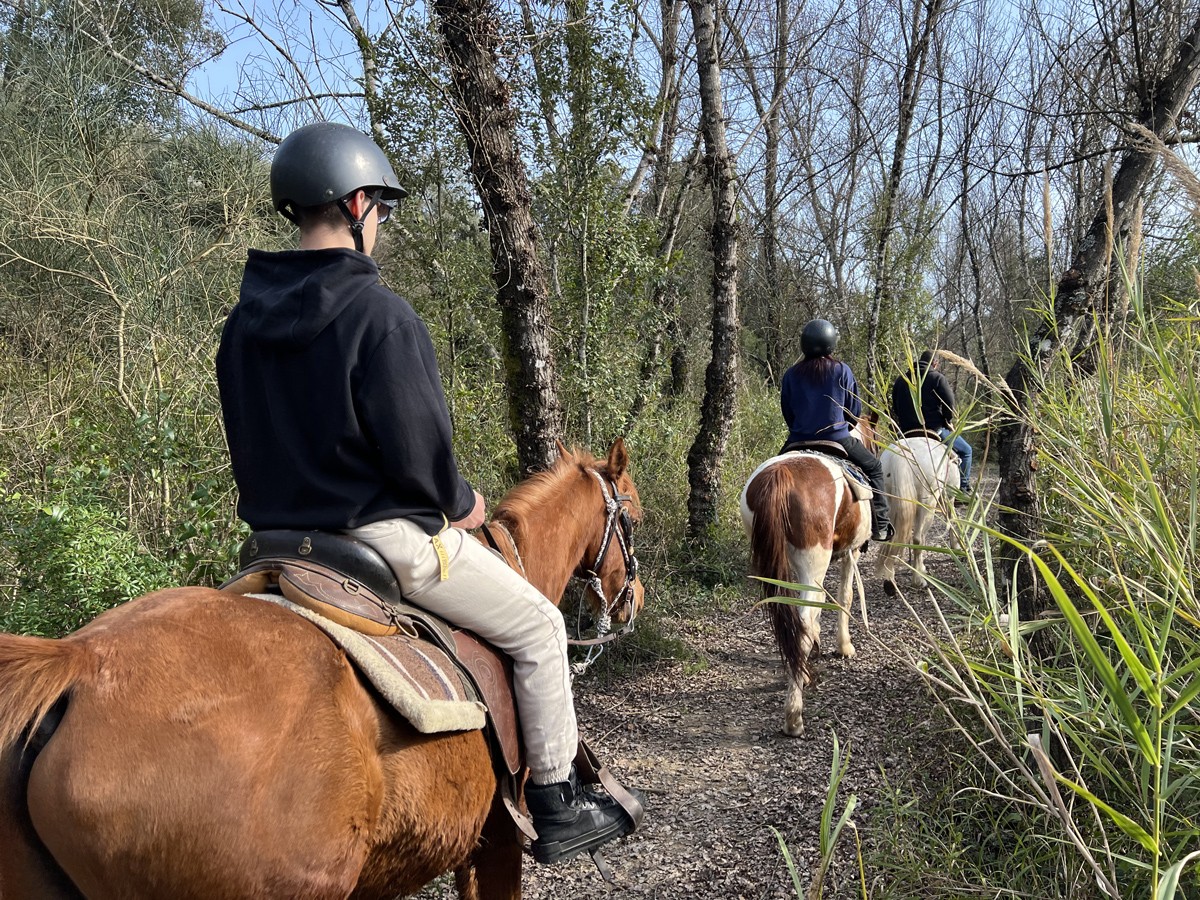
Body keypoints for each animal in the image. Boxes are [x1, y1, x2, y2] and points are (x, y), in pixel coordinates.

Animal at [739, 427, 873, 744]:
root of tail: (781, 476)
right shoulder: (852, 553)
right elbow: (845, 597)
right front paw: (844, 646)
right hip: (814, 561)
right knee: (802, 623)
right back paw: (794, 717)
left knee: (794, 621)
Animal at [873, 436, 955, 600]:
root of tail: (901, 455)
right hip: (928, 503)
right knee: (918, 539)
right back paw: (918, 581)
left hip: (889, 502)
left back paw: (890, 583)